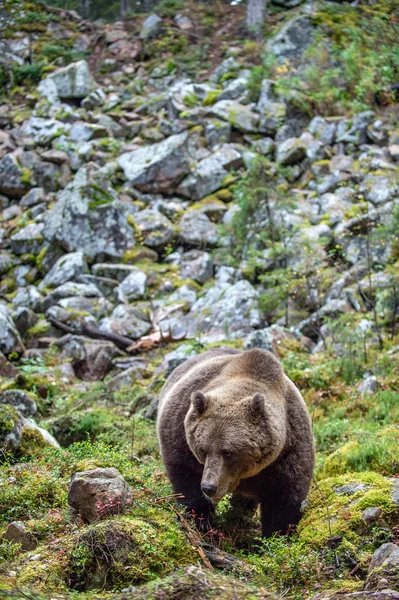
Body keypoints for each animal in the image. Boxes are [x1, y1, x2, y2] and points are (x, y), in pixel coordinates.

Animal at [156, 346, 316, 540]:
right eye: (203, 449)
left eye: (228, 452)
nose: (209, 487)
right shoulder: (179, 431)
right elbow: (186, 476)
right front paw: (200, 520)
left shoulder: (288, 450)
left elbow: (284, 499)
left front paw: (276, 536)